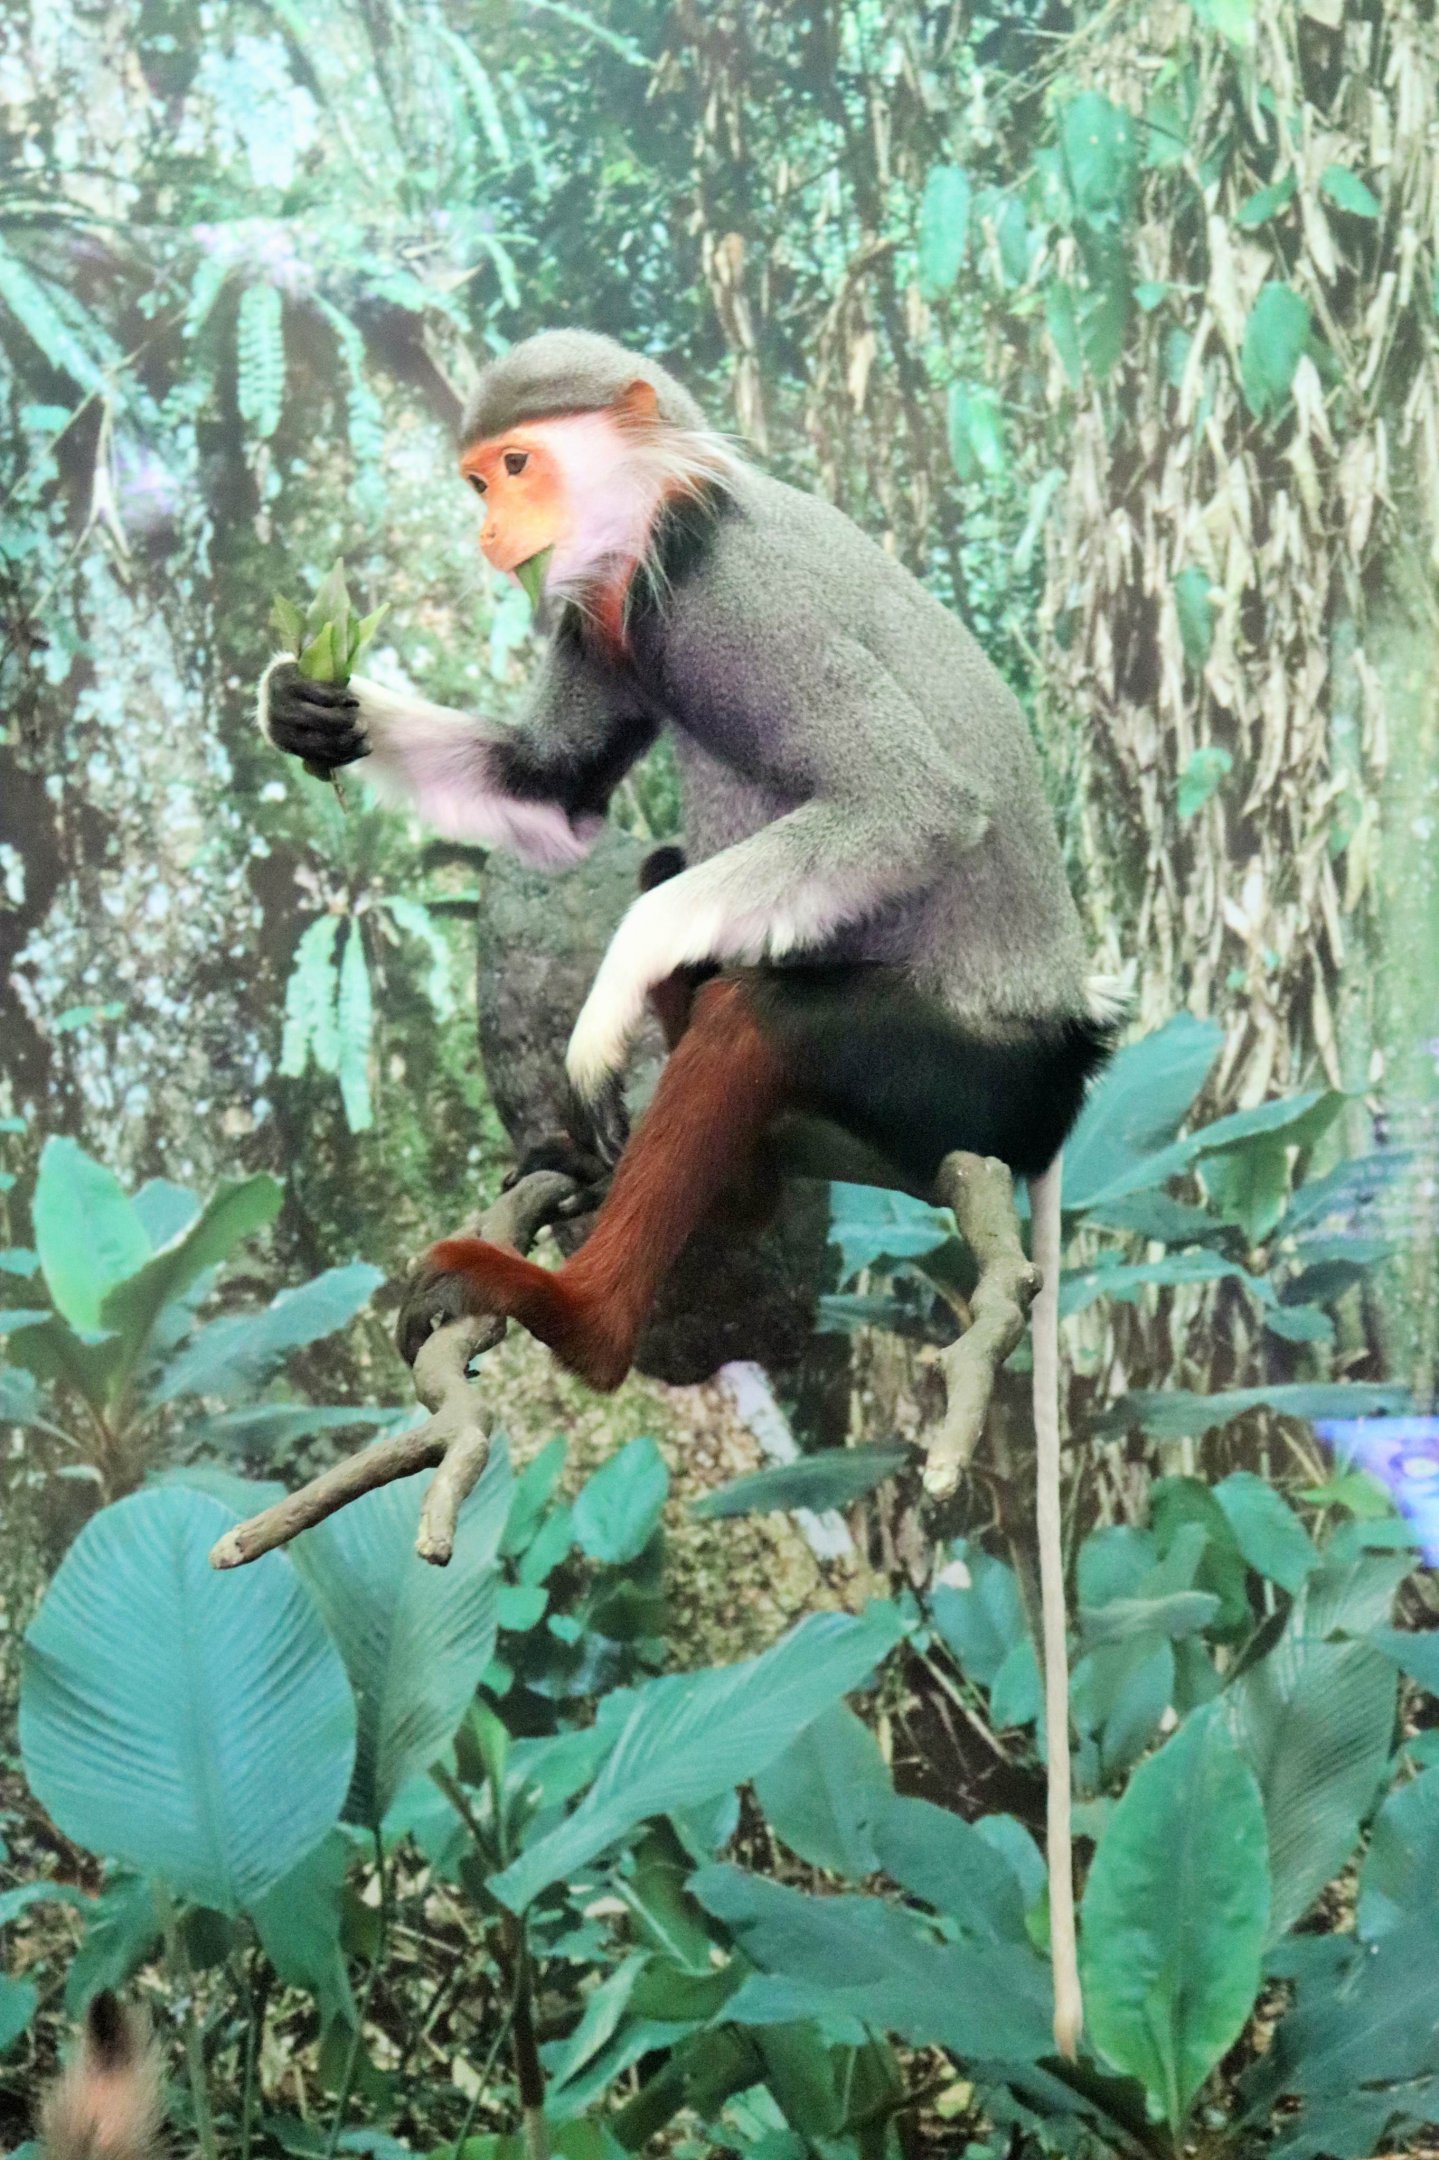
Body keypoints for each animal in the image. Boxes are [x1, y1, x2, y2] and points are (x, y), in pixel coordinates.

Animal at [258, 328, 1124, 2057]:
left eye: (513, 469)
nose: (487, 528)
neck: (649, 522)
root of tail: (1068, 1066)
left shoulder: (702, 599)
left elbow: (909, 805)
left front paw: (607, 997)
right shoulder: (599, 609)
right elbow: (559, 790)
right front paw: (321, 709)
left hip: (957, 1077)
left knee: (767, 1008)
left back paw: (578, 1305)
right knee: (674, 882)